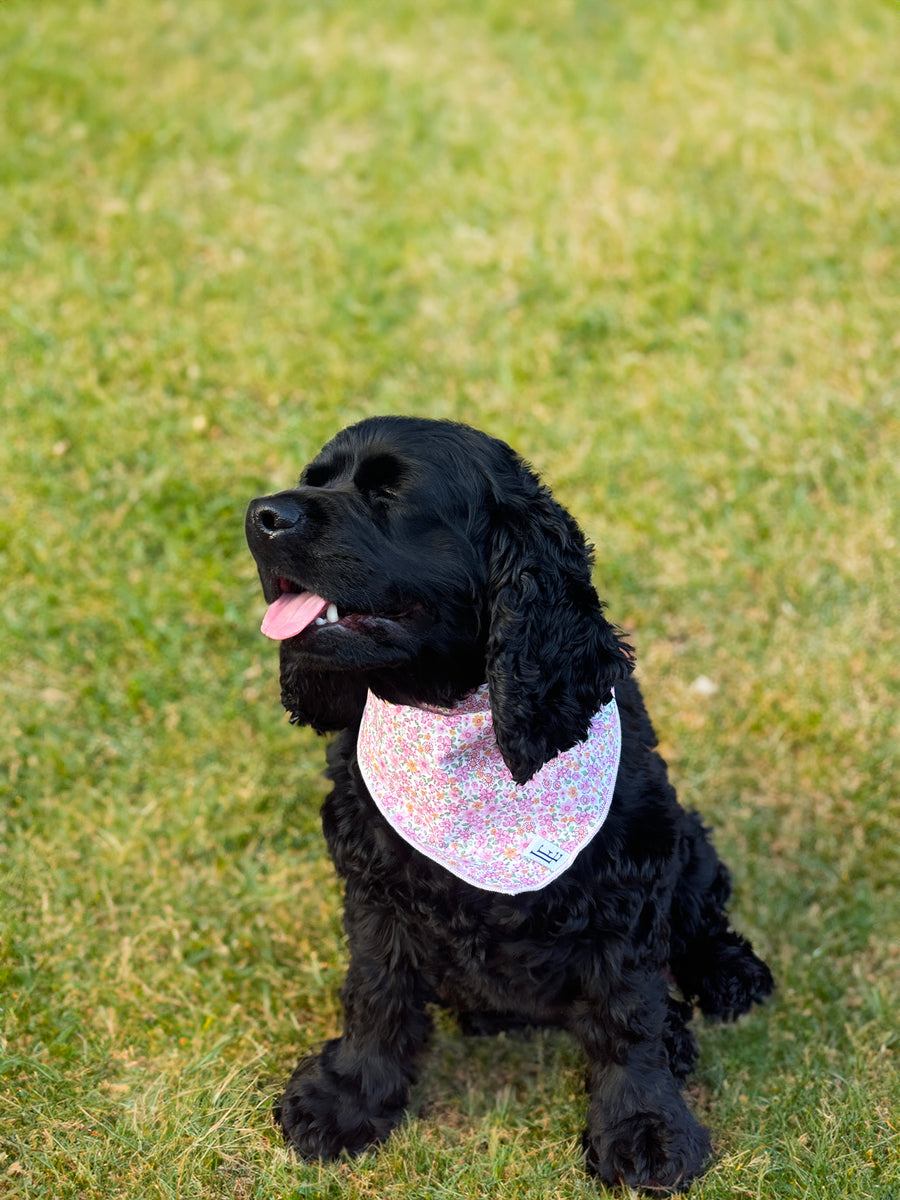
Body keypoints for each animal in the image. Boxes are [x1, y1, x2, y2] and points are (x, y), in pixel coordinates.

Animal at [247, 415, 777, 1190]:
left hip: (687, 836)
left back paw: (728, 978)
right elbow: (376, 993)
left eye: (389, 494)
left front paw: (645, 1128)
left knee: (703, 916)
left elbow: (629, 1016)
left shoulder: (624, 884)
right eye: (314, 480)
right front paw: (349, 1097)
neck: (459, 719)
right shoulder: (376, 888)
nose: (259, 516)